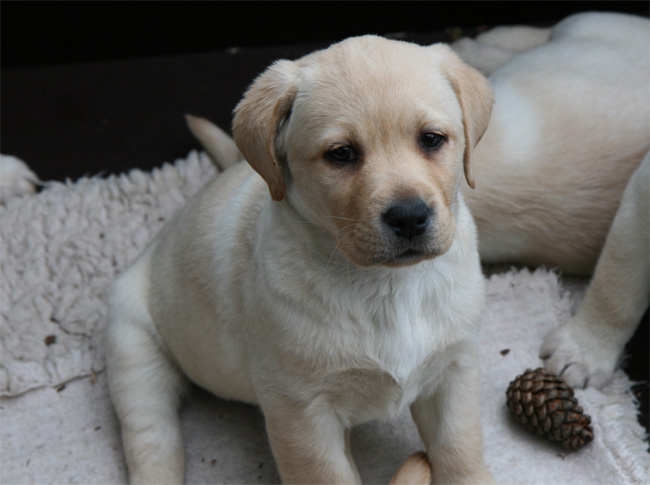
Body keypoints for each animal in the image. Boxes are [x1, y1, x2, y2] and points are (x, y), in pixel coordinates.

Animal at [106, 36, 492, 482]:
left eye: (431, 139)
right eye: (341, 154)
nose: (410, 216)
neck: (385, 285)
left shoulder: (454, 371)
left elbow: (460, 451)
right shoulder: (301, 412)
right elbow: (326, 474)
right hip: (132, 350)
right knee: (152, 438)